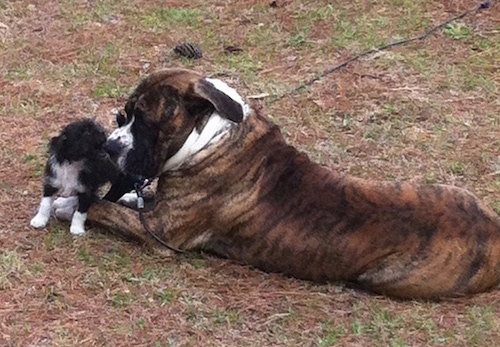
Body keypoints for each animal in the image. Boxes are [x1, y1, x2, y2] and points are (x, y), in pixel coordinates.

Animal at [60, 68, 498, 300]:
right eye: (123, 115)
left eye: (148, 124)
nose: (110, 146)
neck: (210, 136)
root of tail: (492, 230)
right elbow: (127, 201)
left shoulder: (162, 232)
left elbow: (105, 207)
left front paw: (70, 206)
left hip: (386, 278)